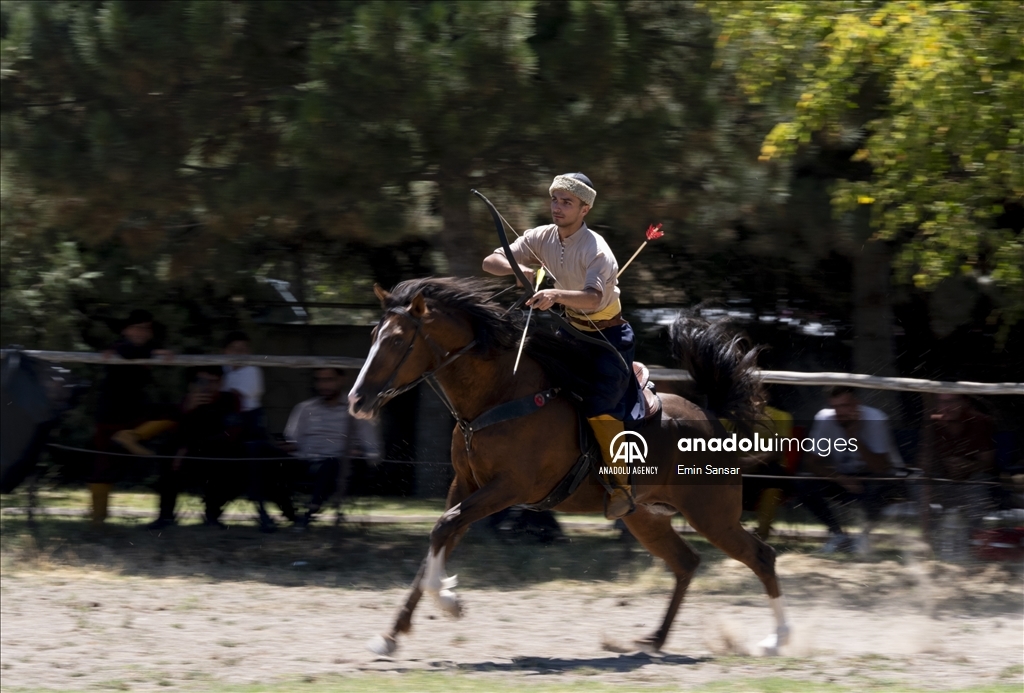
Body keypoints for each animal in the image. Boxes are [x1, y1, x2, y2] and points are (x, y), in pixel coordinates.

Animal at [348, 276, 786, 655]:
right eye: (372, 336)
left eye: (396, 340)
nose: (357, 399)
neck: (501, 394)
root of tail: (711, 418)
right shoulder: (465, 486)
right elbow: (440, 538)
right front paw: (392, 634)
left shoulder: (509, 488)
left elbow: (444, 528)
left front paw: (449, 601)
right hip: (646, 517)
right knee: (686, 563)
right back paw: (655, 639)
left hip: (712, 514)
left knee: (761, 556)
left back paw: (776, 640)